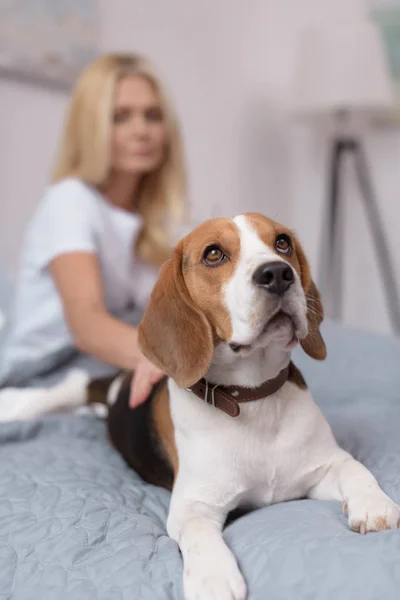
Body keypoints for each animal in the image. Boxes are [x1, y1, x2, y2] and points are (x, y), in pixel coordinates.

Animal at [1, 213, 398, 600]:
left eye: (282, 242)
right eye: (213, 254)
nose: (277, 273)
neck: (252, 398)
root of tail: (121, 384)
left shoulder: (322, 466)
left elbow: (356, 470)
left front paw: (374, 504)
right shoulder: (193, 504)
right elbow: (199, 534)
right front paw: (213, 577)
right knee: (72, 386)